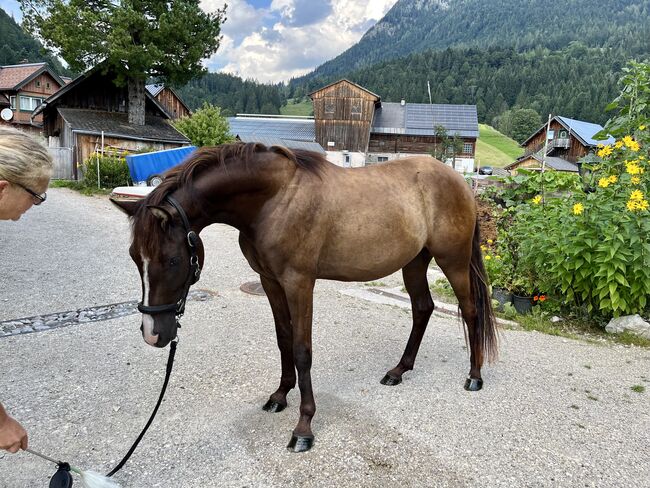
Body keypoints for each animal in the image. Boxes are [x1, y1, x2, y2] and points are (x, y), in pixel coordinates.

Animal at [111, 141, 496, 454]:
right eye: (133, 257)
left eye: (171, 260)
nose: (153, 334)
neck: (274, 199)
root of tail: (460, 182)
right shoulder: (270, 281)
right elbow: (283, 340)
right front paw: (280, 396)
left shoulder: (299, 283)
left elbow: (301, 350)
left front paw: (303, 427)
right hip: (414, 262)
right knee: (422, 309)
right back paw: (398, 371)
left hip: (453, 260)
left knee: (470, 310)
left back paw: (474, 376)